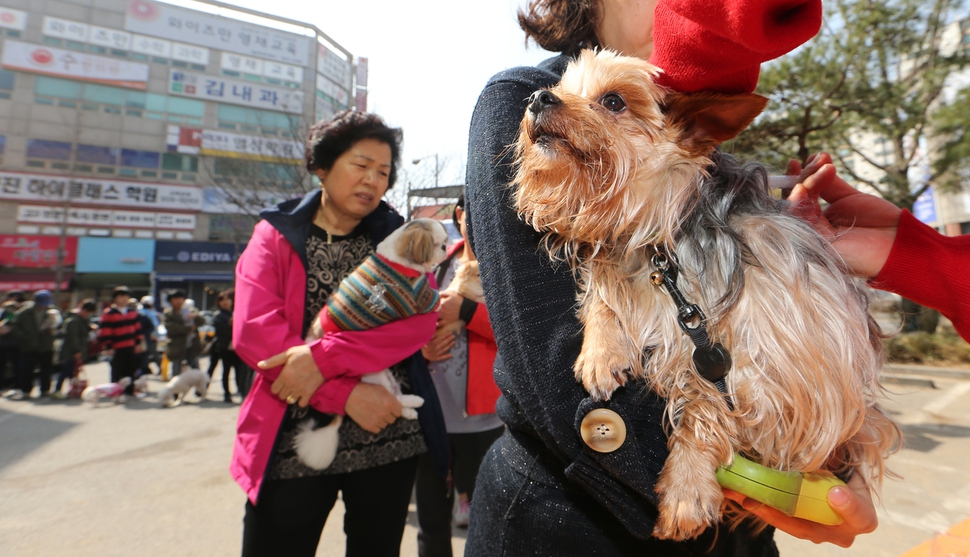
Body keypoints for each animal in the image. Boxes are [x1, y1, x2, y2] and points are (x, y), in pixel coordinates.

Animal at [294, 217, 450, 470]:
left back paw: (413, 404)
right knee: (394, 402)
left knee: (398, 398)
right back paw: (412, 408)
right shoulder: (422, 300)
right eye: (438, 244)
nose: (446, 248)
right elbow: (438, 300)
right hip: (376, 378)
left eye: (445, 242)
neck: (398, 259)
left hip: (387, 376)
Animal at [516, 51, 900, 540]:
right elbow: (602, 292)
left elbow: (708, 397)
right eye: (563, 87)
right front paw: (601, 351)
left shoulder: (776, 364)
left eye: (614, 100)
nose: (537, 98)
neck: (660, 239)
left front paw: (687, 485)